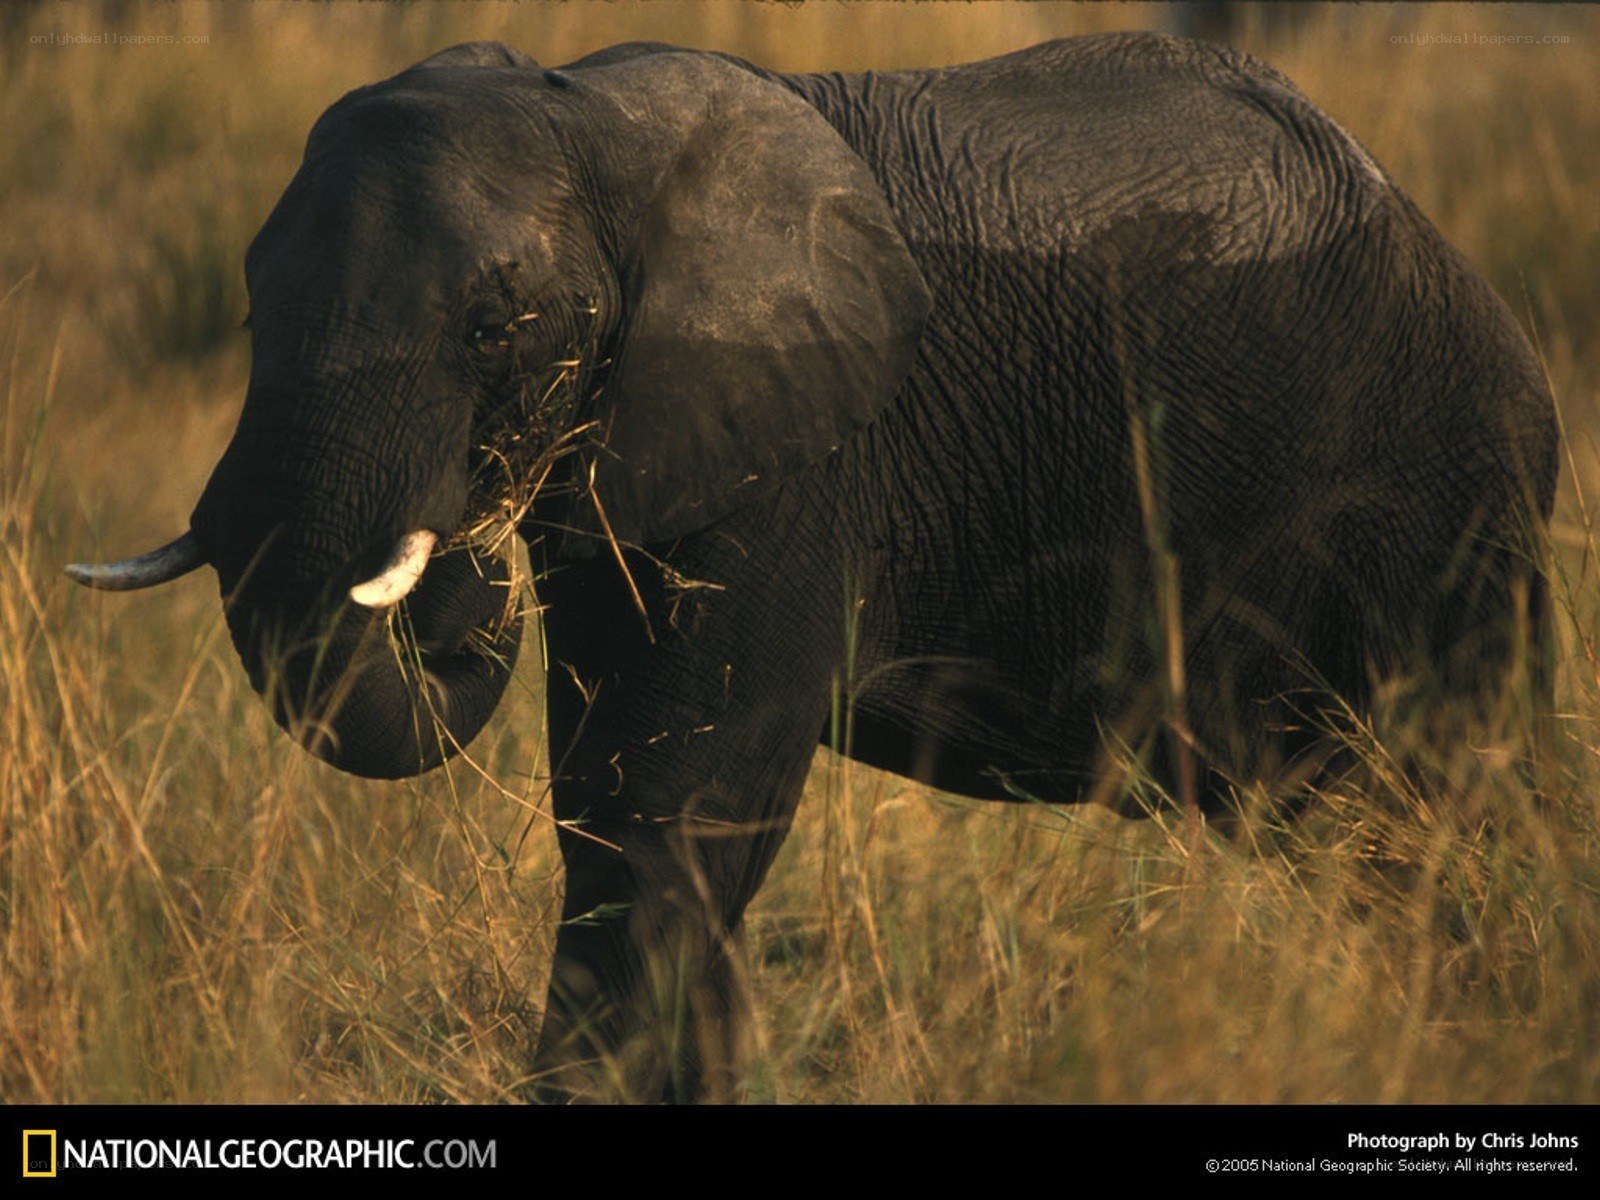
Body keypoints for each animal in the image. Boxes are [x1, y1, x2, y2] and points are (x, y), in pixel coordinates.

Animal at [69, 33, 1558, 1100]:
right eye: (247, 299)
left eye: (495, 324)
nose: (461, 550)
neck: (592, 122)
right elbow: (613, 789)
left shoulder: (803, 450)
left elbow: (676, 795)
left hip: (1441, 495)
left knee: (1446, 798)